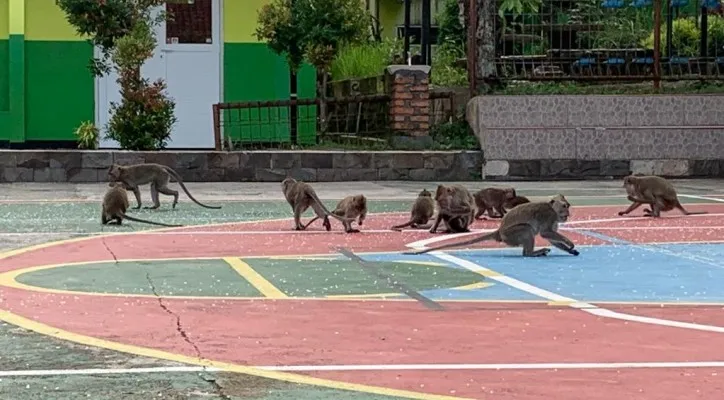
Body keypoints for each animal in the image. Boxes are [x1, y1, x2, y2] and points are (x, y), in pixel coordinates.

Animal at [410, 195, 580, 258]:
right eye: (564, 206)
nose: (568, 213)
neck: (553, 210)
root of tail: (499, 231)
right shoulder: (548, 216)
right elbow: (545, 233)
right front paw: (570, 243)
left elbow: (551, 237)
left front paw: (570, 250)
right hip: (511, 235)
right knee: (526, 229)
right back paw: (531, 253)